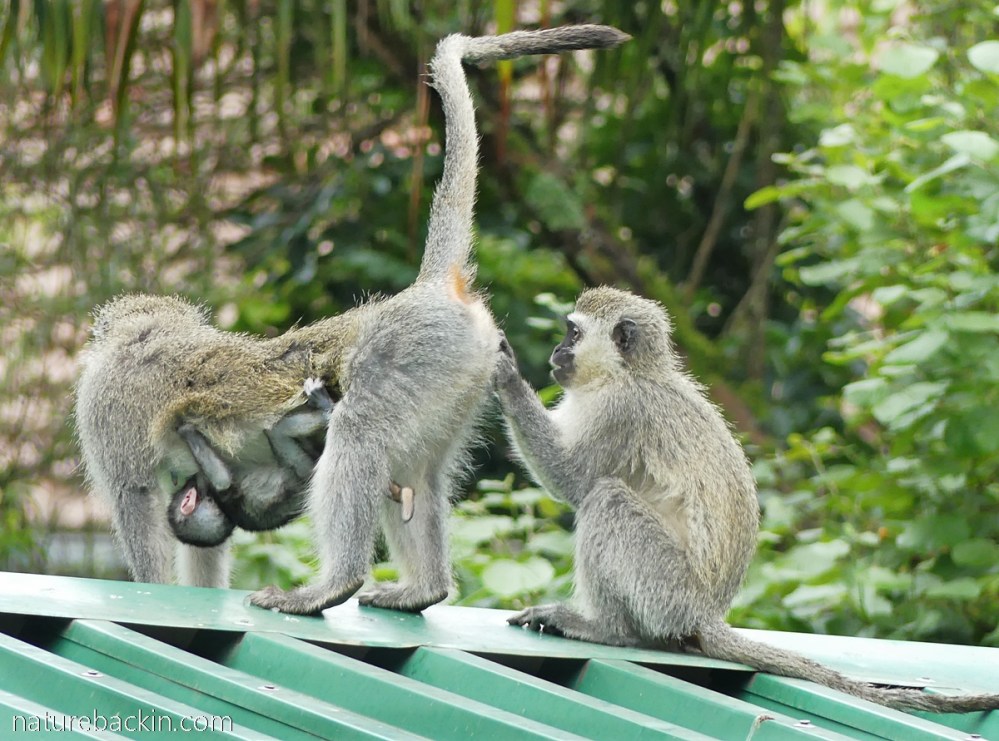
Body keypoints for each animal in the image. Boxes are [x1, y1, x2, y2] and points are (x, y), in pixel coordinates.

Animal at [245, 25, 630, 615]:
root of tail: (429, 288)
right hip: (462, 378)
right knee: (415, 473)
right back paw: (426, 589)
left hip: (430, 354)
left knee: (359, 430)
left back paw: (335, 584)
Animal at [494, 286, 999, 713]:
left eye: (573, 333)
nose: (557, 353)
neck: (629, 373)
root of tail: (705, 614)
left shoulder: (621, 410)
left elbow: (573, 481)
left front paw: (507, 378)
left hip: (666, 590)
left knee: (606, 499)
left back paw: (609, 630)